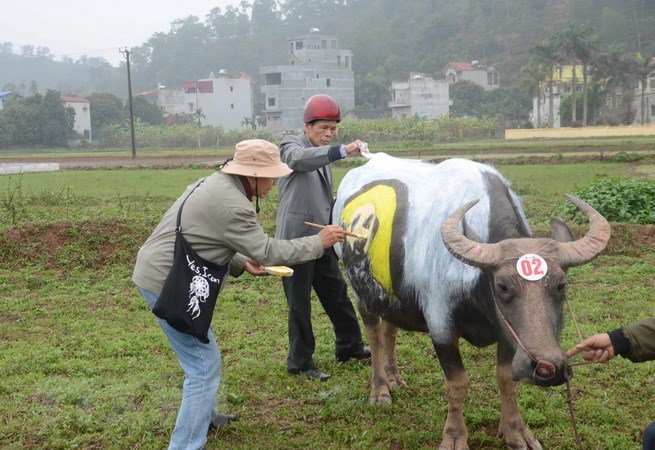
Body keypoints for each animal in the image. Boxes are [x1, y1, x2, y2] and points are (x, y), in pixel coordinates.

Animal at [336, 155, 612, 450]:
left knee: (390, 329)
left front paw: (516, 432)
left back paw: (394, 378)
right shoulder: (441, 326)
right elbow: (457, 384)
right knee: (375, 335)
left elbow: (506, 379)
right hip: (361, 293)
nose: (549, 368)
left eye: (561, 285)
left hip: (392, 296)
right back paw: (380, 389)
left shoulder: (508, 336)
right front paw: (454, 436)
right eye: (502, 286)